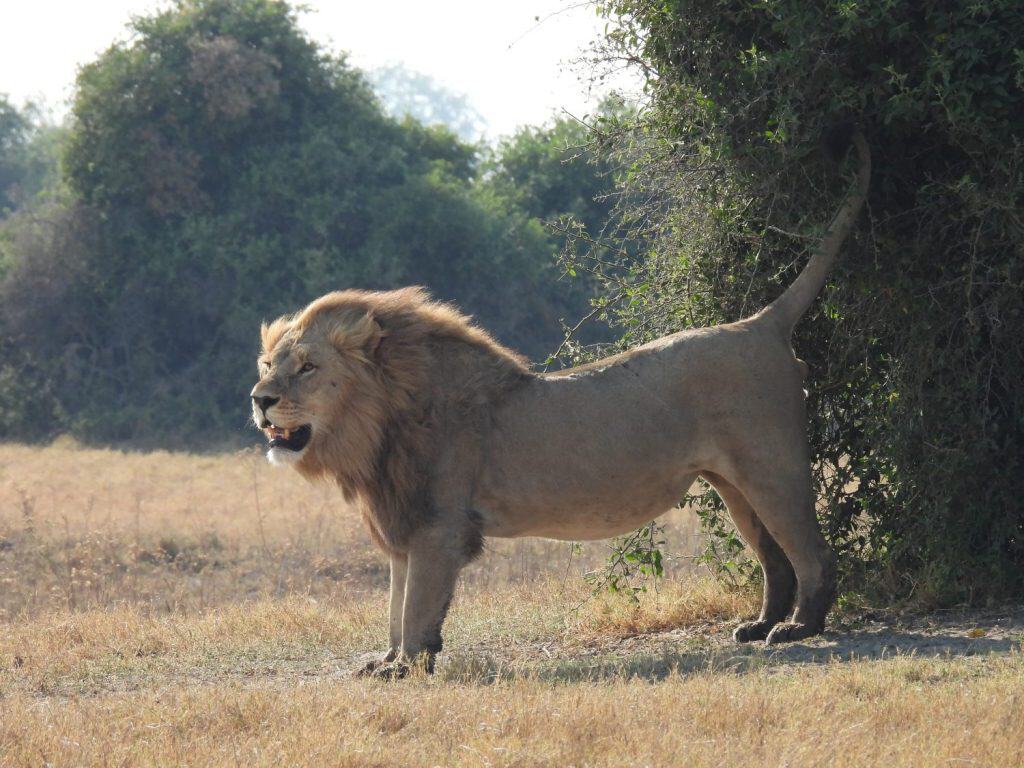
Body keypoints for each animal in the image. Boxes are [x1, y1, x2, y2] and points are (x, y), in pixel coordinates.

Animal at [250, 132, 870, 677]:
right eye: (265, 364)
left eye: (306, 366)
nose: (259, 400)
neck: (375, 428)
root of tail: (760, 323)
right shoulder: (402, 521)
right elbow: (395, 603)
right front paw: (385, 660)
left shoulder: (436, 527)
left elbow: (417, 607)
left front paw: (406, 666)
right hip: (731, 481)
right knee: (774, 559)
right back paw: (760, 624)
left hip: (772, 465)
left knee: (812, 552)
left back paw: (798, 629)